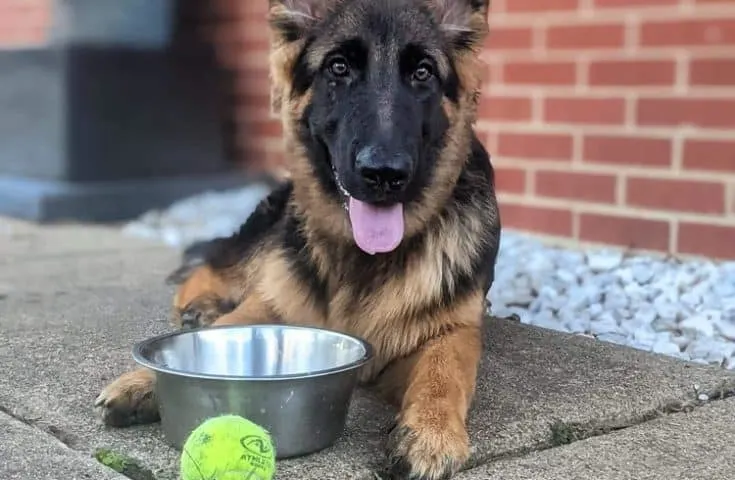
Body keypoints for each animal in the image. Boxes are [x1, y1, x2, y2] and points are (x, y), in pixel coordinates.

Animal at [96, 0, 500, 476]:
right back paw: (201, 307)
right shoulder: (272, 301)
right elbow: (228, 326)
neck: (361, 257)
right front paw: (145, 379)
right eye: (339, 67)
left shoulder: (453, 331)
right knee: (210, 269)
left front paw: (432, 431)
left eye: (423, 73)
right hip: (268, 239)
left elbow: (445, 370)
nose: (383, 173)